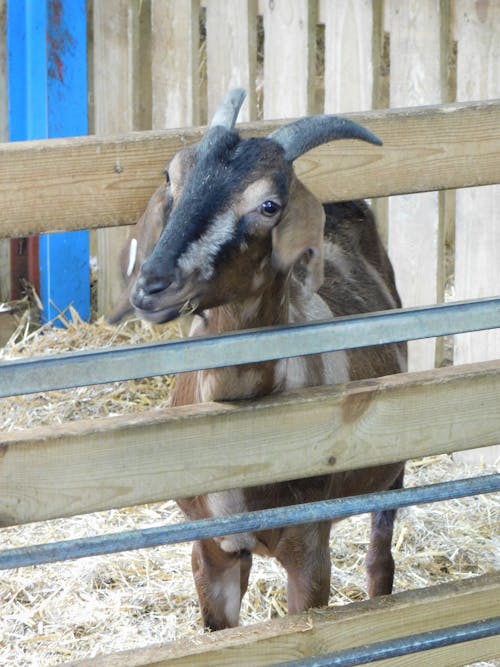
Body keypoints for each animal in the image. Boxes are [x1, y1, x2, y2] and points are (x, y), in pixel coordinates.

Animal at [125, 88, 406, 632]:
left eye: (268, 206)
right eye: (172, 176)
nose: (152, 284)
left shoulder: (308, 551)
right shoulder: (210, 549)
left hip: (392, 470)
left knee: (380, 559)